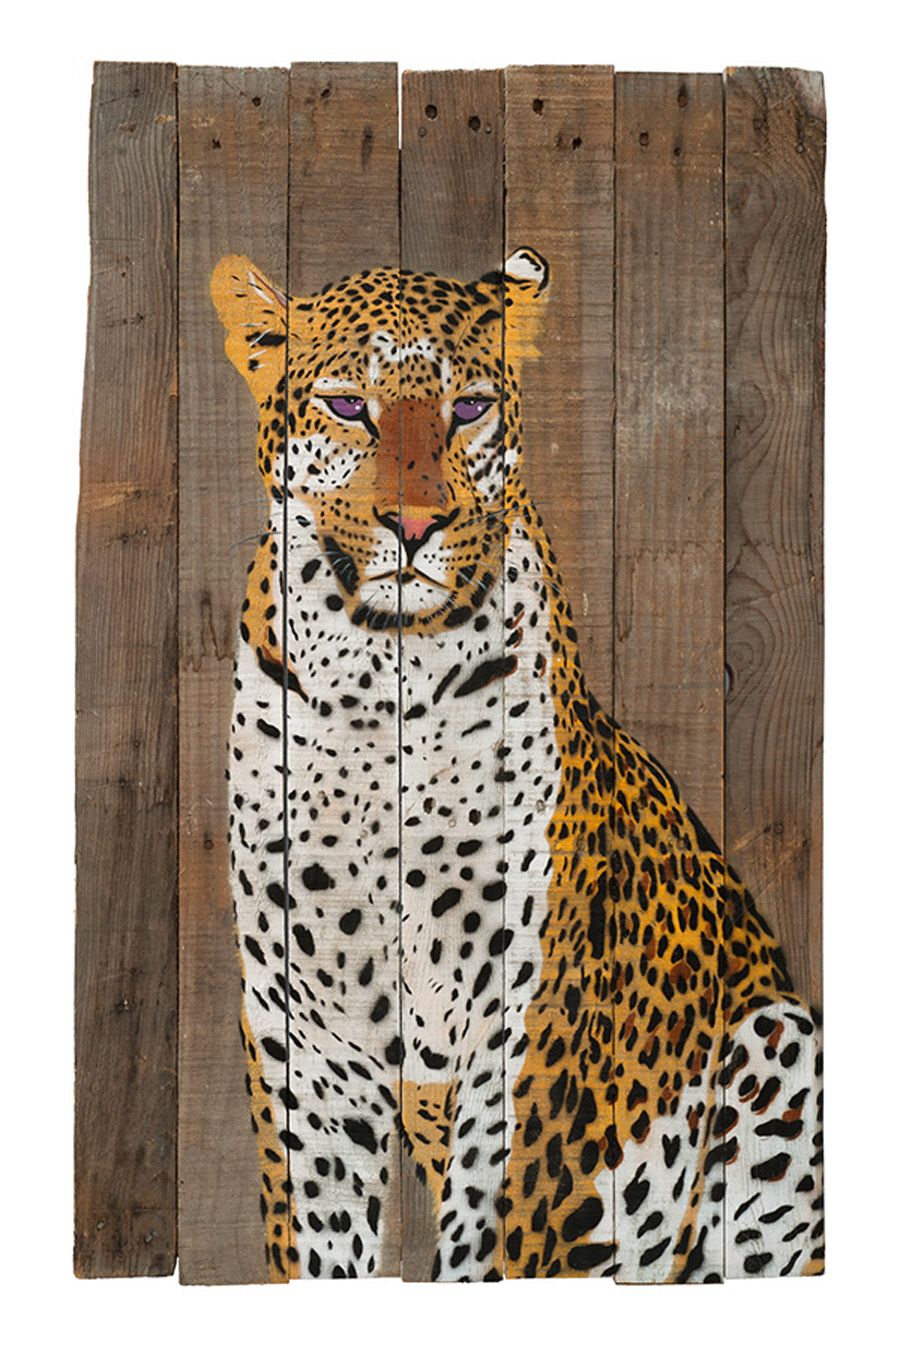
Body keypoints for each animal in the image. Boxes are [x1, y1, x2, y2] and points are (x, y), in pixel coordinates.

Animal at [211, 247, 824, 1283]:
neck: (380, 686)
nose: (413, 524)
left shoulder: (529, 1014)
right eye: (346, 405)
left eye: (468, 408)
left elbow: (498, 1232)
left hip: (780, 1040)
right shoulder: (309, 1029)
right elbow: (321, 1230)